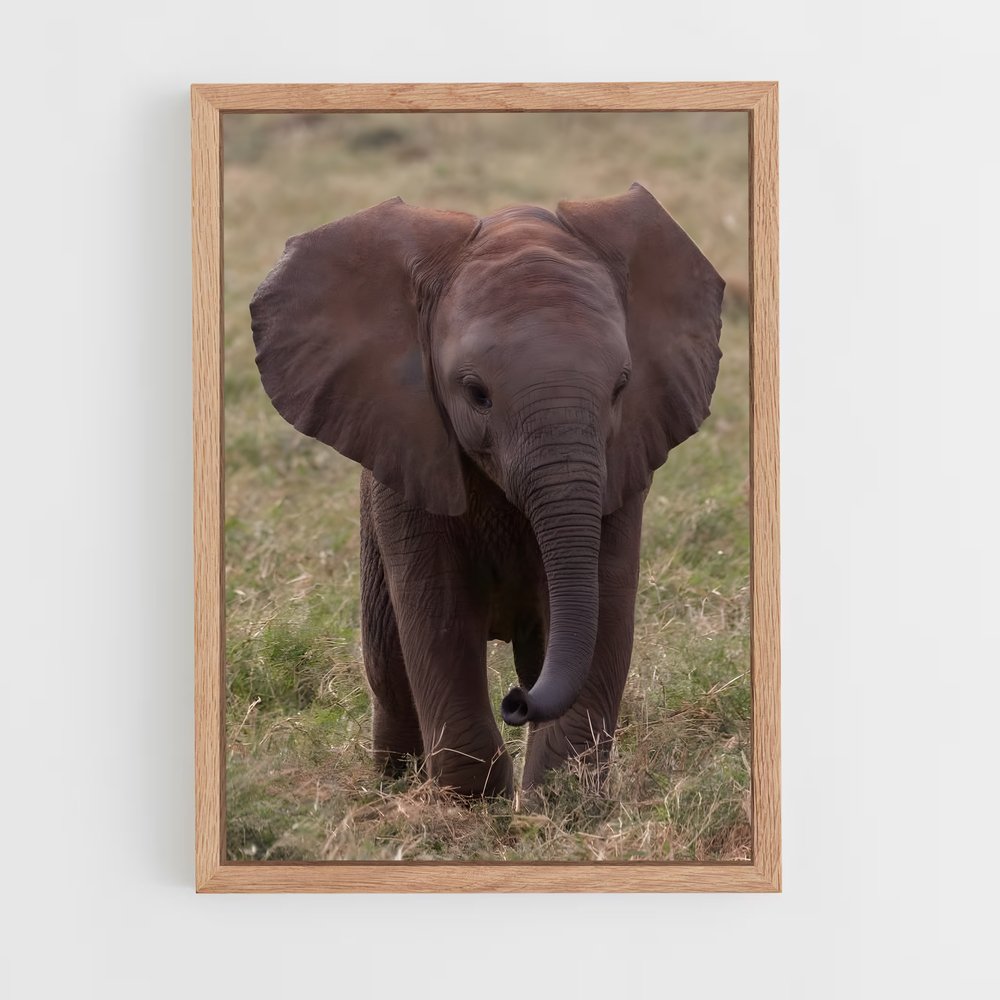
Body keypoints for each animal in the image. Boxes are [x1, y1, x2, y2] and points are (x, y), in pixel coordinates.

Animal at [250, 183, 724, 798]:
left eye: (621, 387)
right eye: (476, 394)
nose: (516, 704)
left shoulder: (623, 463)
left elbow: (605, 603)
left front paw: (560, 803)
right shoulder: (409, 456)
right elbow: (439, 614)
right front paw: (473, 804)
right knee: (388, 667)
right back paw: (394, 784)